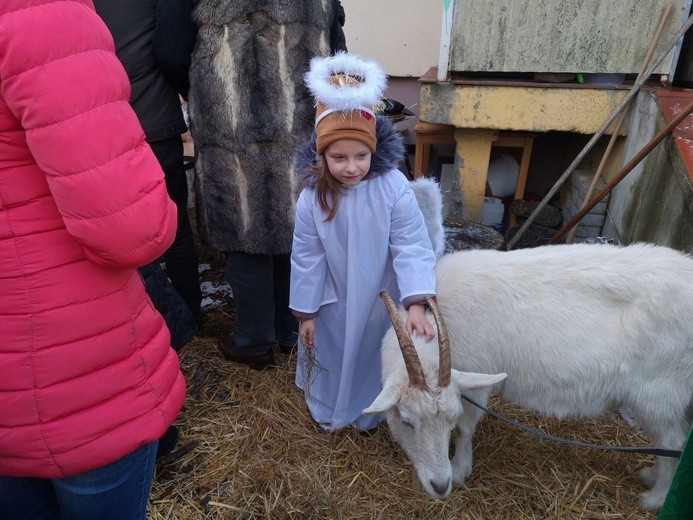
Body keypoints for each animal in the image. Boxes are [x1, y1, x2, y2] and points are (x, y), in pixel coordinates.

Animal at [362, 242, 692, 510]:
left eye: (449, 420)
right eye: (407, 422)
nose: (440, 487)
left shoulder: (476, 380)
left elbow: (467, 428)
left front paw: (460, 469)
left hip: (659, 392)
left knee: (673, 442)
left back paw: (655, 498)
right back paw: (650, 476)